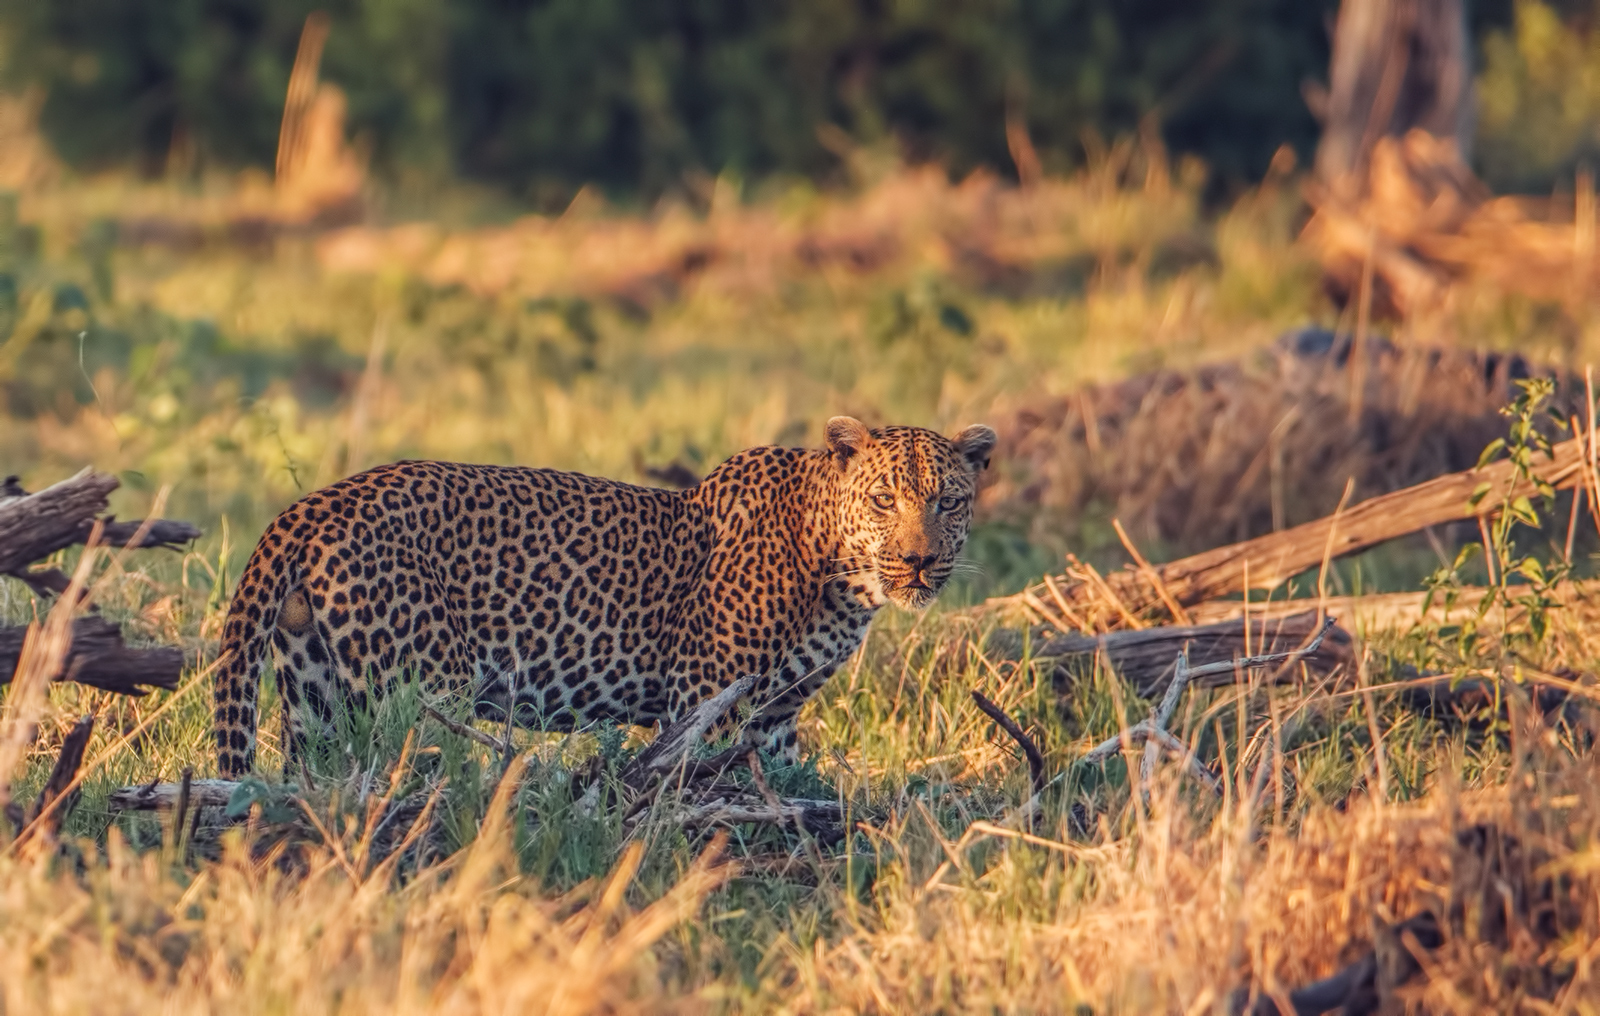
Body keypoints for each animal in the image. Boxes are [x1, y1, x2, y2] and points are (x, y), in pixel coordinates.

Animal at [212, 416, 997, 778]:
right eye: (884, 499)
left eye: (949, 501)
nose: (920, 562)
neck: (841, 576)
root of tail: (310, 504)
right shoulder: (705, 695)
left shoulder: (775, 714)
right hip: (421, 687)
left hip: (314, 690)